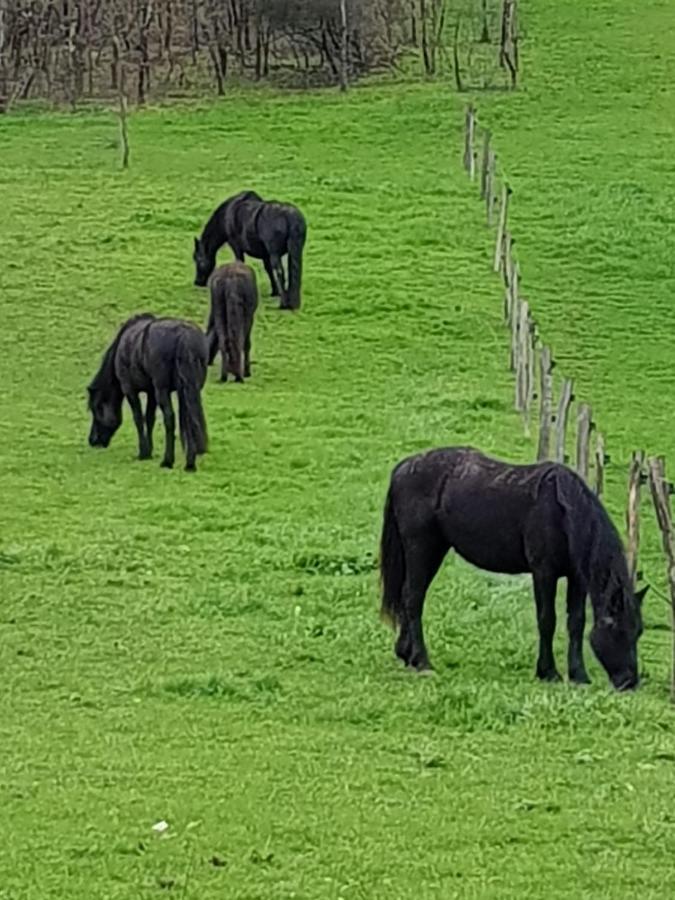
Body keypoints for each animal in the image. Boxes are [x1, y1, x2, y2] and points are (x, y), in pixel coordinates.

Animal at [88, 314, 209, 472]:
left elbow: (139, 418)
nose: (92, 440)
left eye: (95, 409)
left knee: (170, 418)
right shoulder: (151, 392)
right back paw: (190, 464)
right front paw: (149, 451)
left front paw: (143, 452)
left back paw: (167, 461)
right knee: (190, 420)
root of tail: (184, 335)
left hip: (162, 389)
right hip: (190, 390)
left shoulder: (130, 389)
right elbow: (150, 418)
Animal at [380, 446, 648, 692]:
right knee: (413, 598)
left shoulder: (577, 578)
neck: (563, 511)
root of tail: (404, 467)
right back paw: (422, 661)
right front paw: (548, 672)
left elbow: (576, 623)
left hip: (433, 550)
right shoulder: (544, 573)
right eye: (616, 629)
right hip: (421, 548)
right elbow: (547, 620)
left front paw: (578, 675)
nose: (629, 682)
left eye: (638, 631)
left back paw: (406, 654)